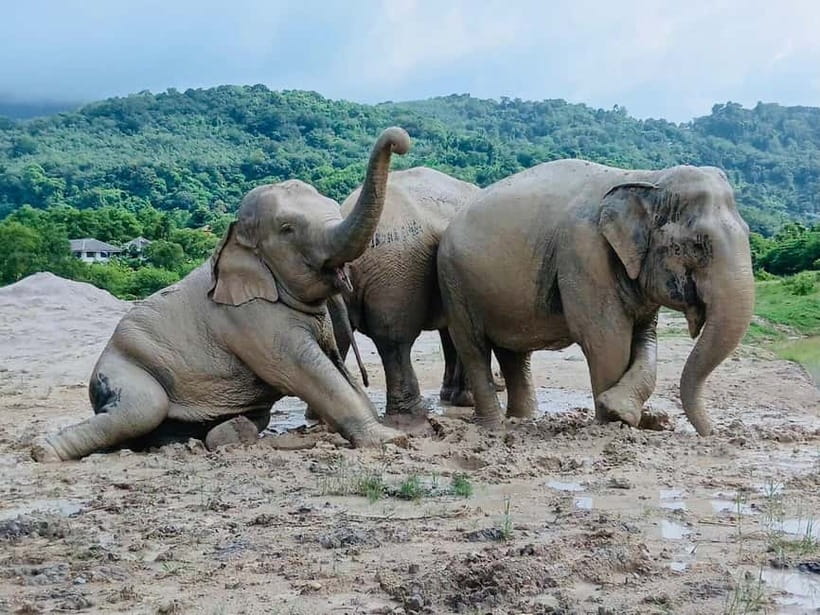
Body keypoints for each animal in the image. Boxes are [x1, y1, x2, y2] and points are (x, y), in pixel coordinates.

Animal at [30, 127, 412, 462]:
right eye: (287, 229)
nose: (401, 141)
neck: (232, 238)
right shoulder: (251, 318)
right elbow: (306, 370)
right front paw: (391, 439)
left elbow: (335, 367)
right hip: (123, 368)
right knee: (142, 408)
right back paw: (43, 452)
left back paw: (226, 433)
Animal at [312, 167, 503, 420]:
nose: (501, 384)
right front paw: (465, 400)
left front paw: (452, 396)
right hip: (397, 269)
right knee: (394, 340)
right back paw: (412, 413)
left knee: (339, 334)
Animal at [437, 159, 754, 436]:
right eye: (697, 246)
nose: (711, 434)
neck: (647, 178)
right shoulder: (584, 253)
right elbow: (608, 340)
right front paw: (613, 423)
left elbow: (645, 338)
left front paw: (622, 412)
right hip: (455, 284)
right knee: (473, 347)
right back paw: (491, 427)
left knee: (513, 353)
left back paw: (521, 419)